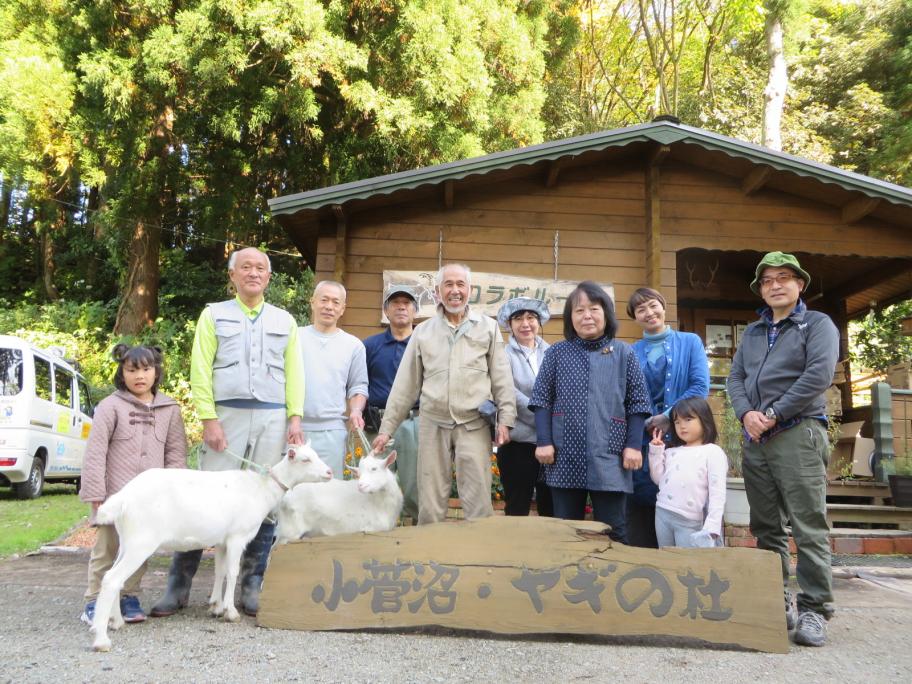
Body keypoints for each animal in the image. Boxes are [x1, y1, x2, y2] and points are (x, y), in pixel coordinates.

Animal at [89, 444, 330, 652]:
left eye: (316, 454)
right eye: (305, 459)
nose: (329, 472)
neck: (261, 490)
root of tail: (122, 498)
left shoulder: (222, 540)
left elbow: (220, 571)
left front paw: (216, 606)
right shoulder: (237, 537)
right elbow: (232, 573)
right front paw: (230, 612)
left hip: (127, 541)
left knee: (113, 576)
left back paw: (116, 621)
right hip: (141, 542)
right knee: (112, 579)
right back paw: (101, 639)